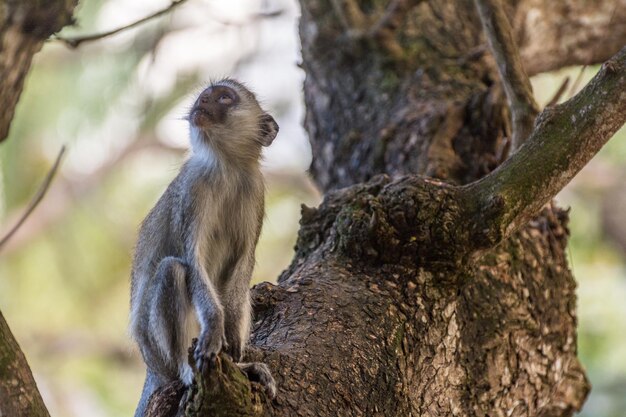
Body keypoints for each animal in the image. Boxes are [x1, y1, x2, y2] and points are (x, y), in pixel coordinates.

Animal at [128, 78, 276, 416]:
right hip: (157, 350)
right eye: (206, 97)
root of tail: (151, 367)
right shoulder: (193, 189)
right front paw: (215, 327)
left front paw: (232, 338)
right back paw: (185, 371)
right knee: (172, 269)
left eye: (224, 98)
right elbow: (193, 260)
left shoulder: (255, 192)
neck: (227, 167)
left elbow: (244, 262)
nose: (203, 102)